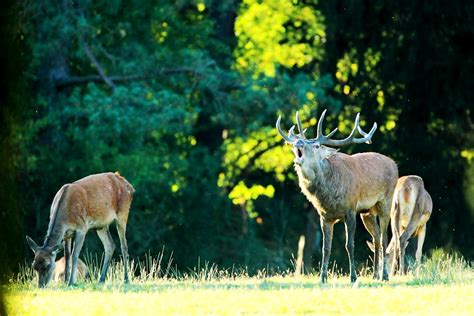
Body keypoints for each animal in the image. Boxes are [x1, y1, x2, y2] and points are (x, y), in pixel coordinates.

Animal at [276, 110, 398, 282]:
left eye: (316, 145)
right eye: (298, 143)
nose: (298, 143)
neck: (328, 197)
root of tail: (394, 164)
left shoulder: (351, 210)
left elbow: (349, 245)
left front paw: (353, 277)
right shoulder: (324, 216)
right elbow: (326, 248)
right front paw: (322, 278)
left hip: (386, 201)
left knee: (384, 237)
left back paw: (385, 276)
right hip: (367, 212)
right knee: (376, 238)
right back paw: (375, 275)